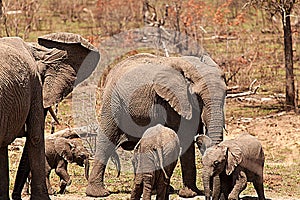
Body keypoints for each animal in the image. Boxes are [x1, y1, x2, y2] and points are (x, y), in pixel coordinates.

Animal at [85, 52, 226, 197]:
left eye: (226, 94)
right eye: (198, 97)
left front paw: (192, 192)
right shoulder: (172, 102)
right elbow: (185, 137)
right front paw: (189, 194)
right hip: (112, 102)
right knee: (106, 140)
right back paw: (97, 193)